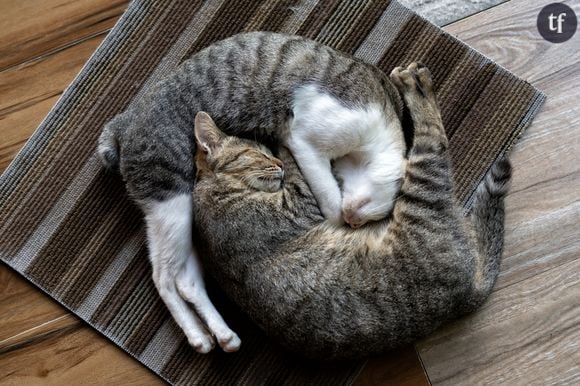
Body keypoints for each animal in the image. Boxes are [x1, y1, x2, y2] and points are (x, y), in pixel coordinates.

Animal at [97, 32, 406, 352]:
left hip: (178, 216)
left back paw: (221, 335)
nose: (354, 222)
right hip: (172, 204)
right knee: (164, 277)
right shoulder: (304, 141)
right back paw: (198, 336)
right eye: (363, 214)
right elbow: (330, 204)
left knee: (185, 279)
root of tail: (122, 125)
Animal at [191, 62, 512, 358]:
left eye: (265, 152)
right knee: (434, 138)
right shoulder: (299, 201)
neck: (213, 189)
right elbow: (298, 160)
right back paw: (416, 84)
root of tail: (466, 295)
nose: (277, 163)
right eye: (257, 153)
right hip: (422, 184)